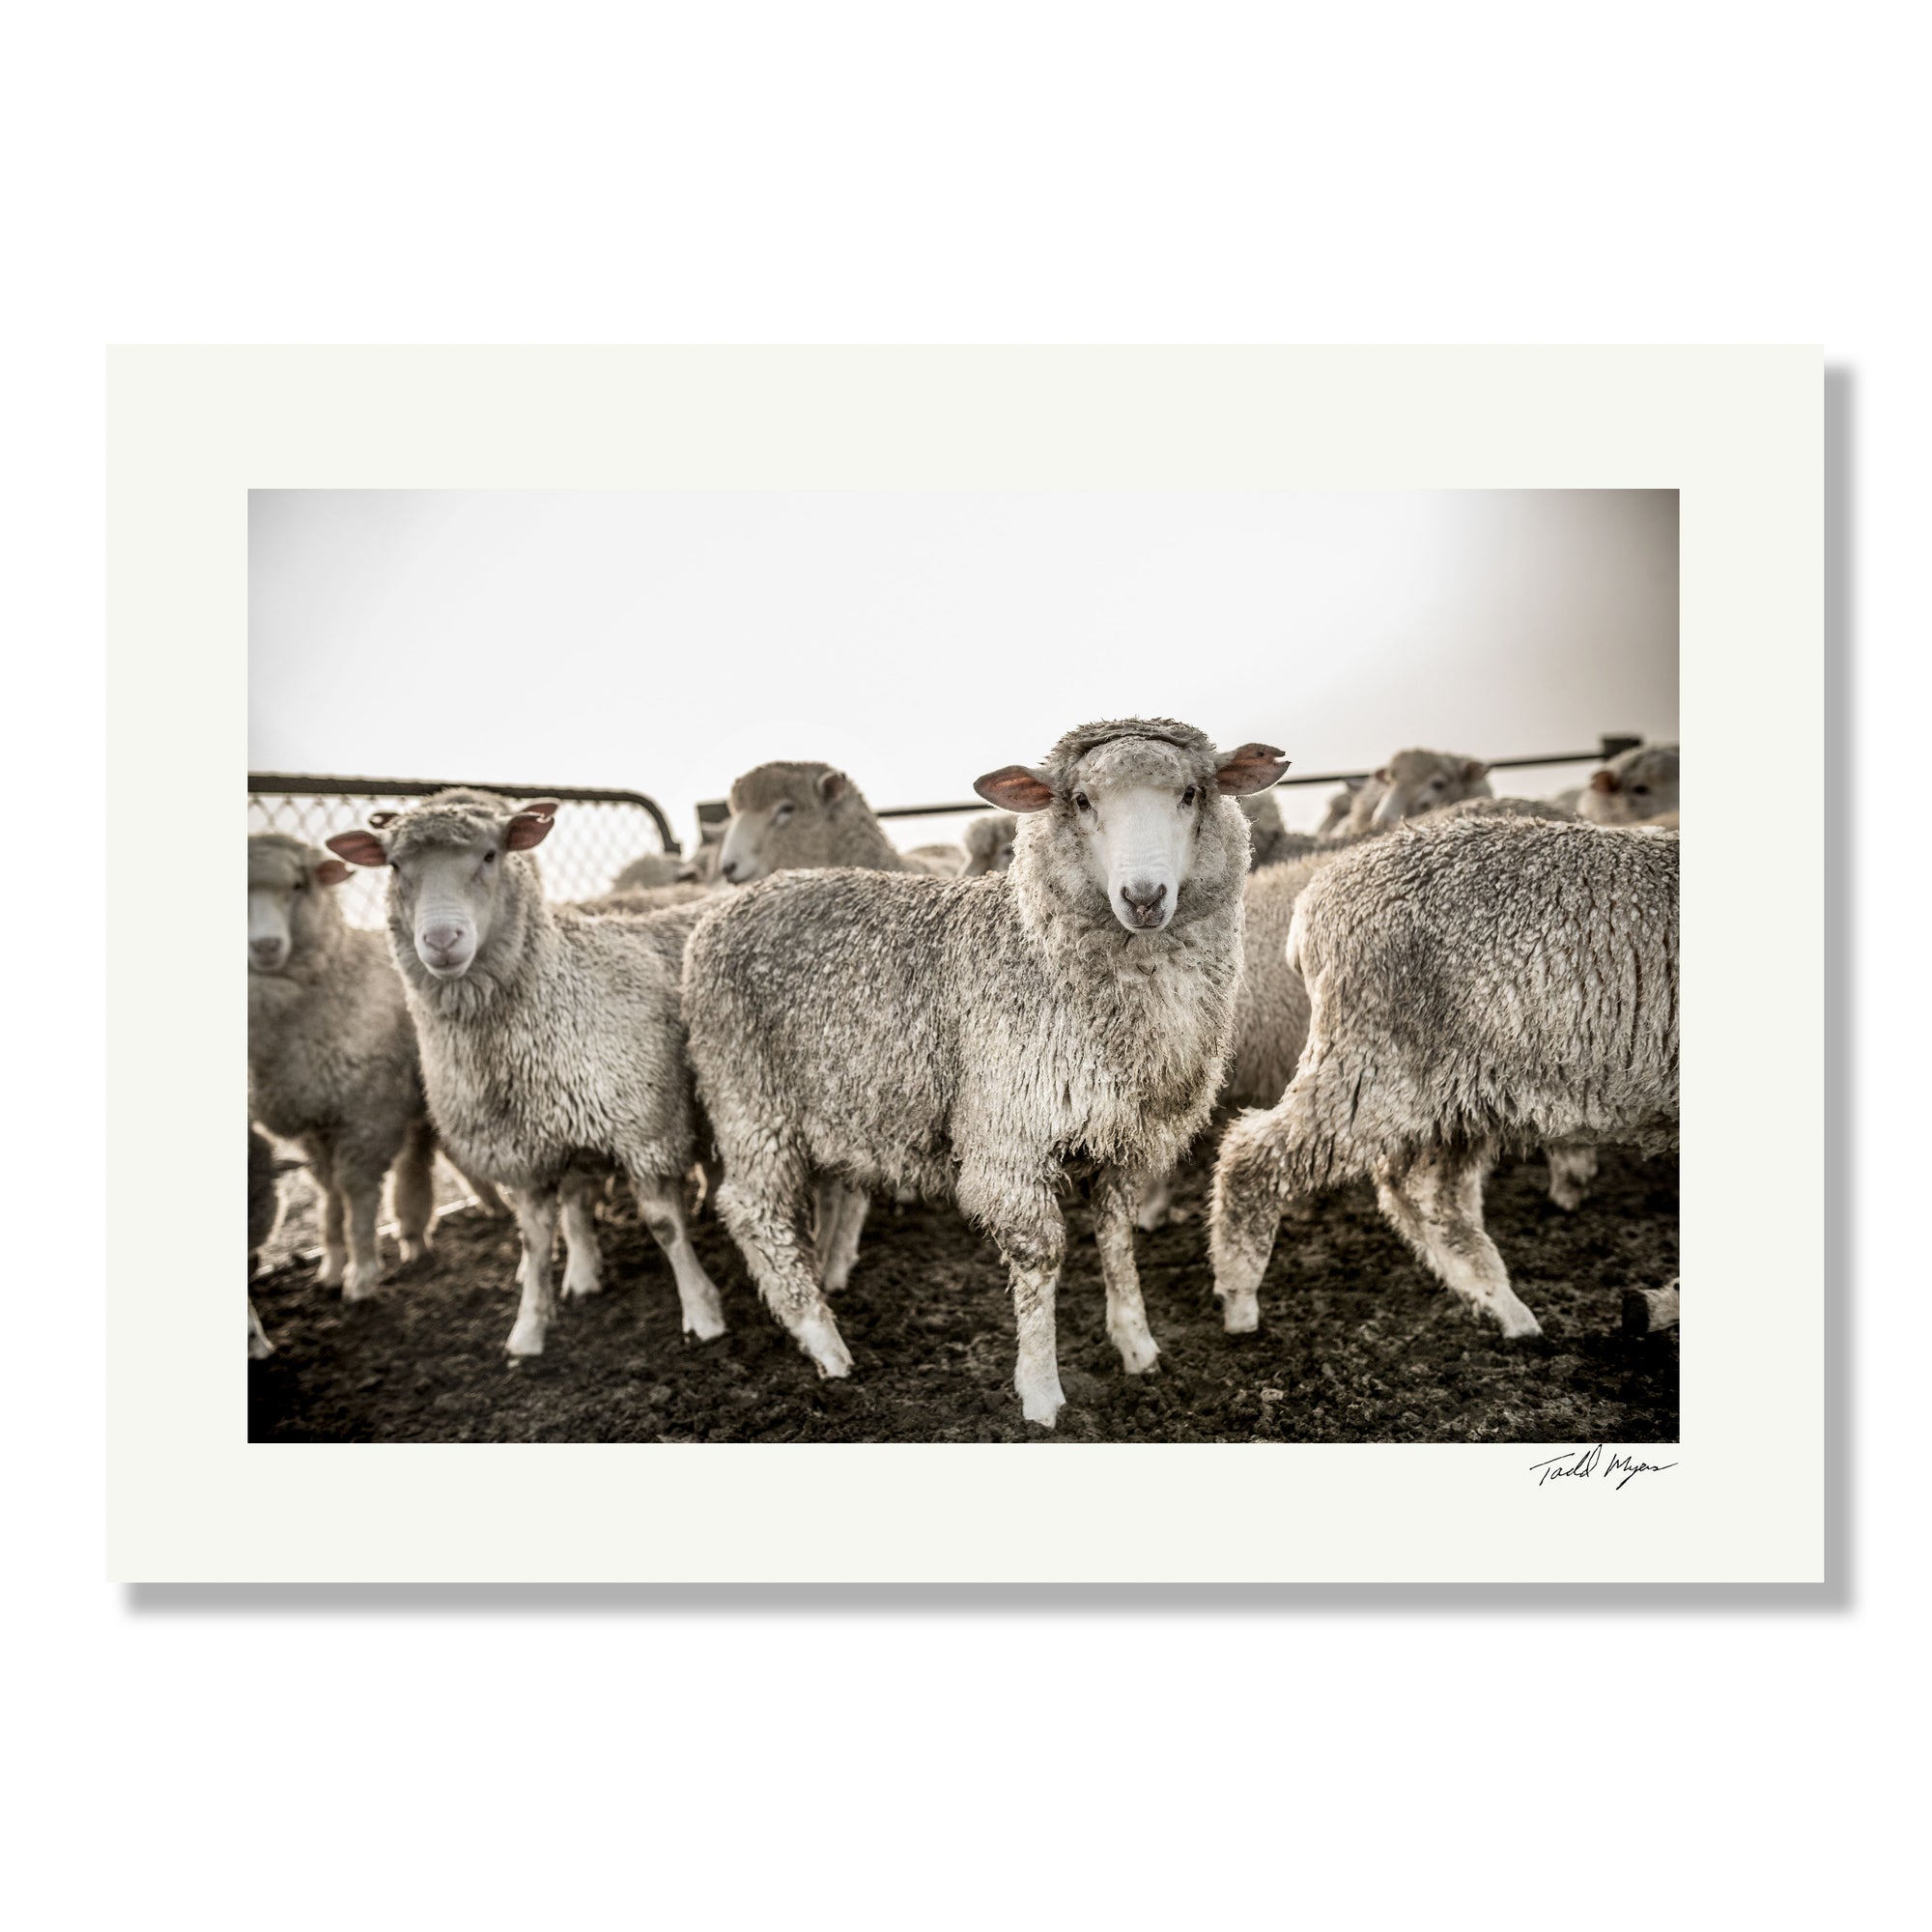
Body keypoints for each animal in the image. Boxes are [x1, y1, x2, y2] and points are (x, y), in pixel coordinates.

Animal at [247, 832, 441, 1300]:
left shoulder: (366, 1112)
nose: (265, 946)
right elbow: (329, 1190)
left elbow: (355, 1190)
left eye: (298, 885)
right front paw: (333, 1265)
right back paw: (413, 1235)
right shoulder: (314, 1123)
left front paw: (362, 1273)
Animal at [326, 791, 726, 1359]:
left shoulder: (645, 1131)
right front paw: (529, 1329)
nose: (442, 939)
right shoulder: (526, 1154)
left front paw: (701, 1311)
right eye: (396, 866)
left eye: (491, 855)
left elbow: (664, 1227)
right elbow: (535, 1242)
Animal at [684, 718, 1288, 1427]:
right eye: (1080, 800)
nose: (1143, 897)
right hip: (749, 1096)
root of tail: (717, 915)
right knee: (754, 1211)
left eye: (1192, 793)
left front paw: (1138, 1347)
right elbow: (1040, 1258)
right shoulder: (1009, 1140)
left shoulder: (1121, 1139)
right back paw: (825, 1344)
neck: (1037, 946)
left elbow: (1116, 1239)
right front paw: (1041, 1393)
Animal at [1209, 816, 1678, 1341]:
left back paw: (1503, 1305)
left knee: (1424, 1196)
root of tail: (1314, 899)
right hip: (1376, 1063)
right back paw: (1239, 1297)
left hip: (1457, 1094)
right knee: (1252, 1155)